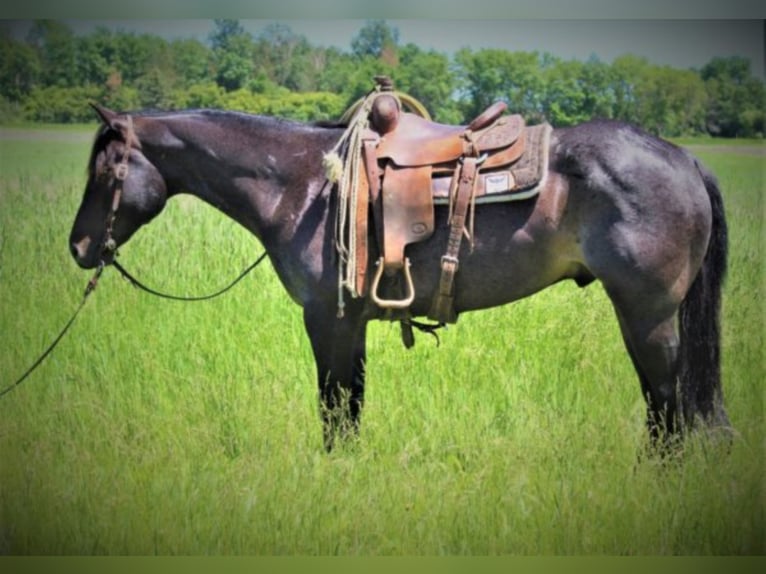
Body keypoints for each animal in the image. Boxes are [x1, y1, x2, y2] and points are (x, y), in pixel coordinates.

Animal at [70, 106, 732, 452]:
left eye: (105, 172)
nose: (78, 247)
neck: (304, 184)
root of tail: (682, 157)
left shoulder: (328, 321)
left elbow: (334, 406)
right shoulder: (351, 324)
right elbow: (351, 405)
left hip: (648, 318)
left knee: (667, 406)